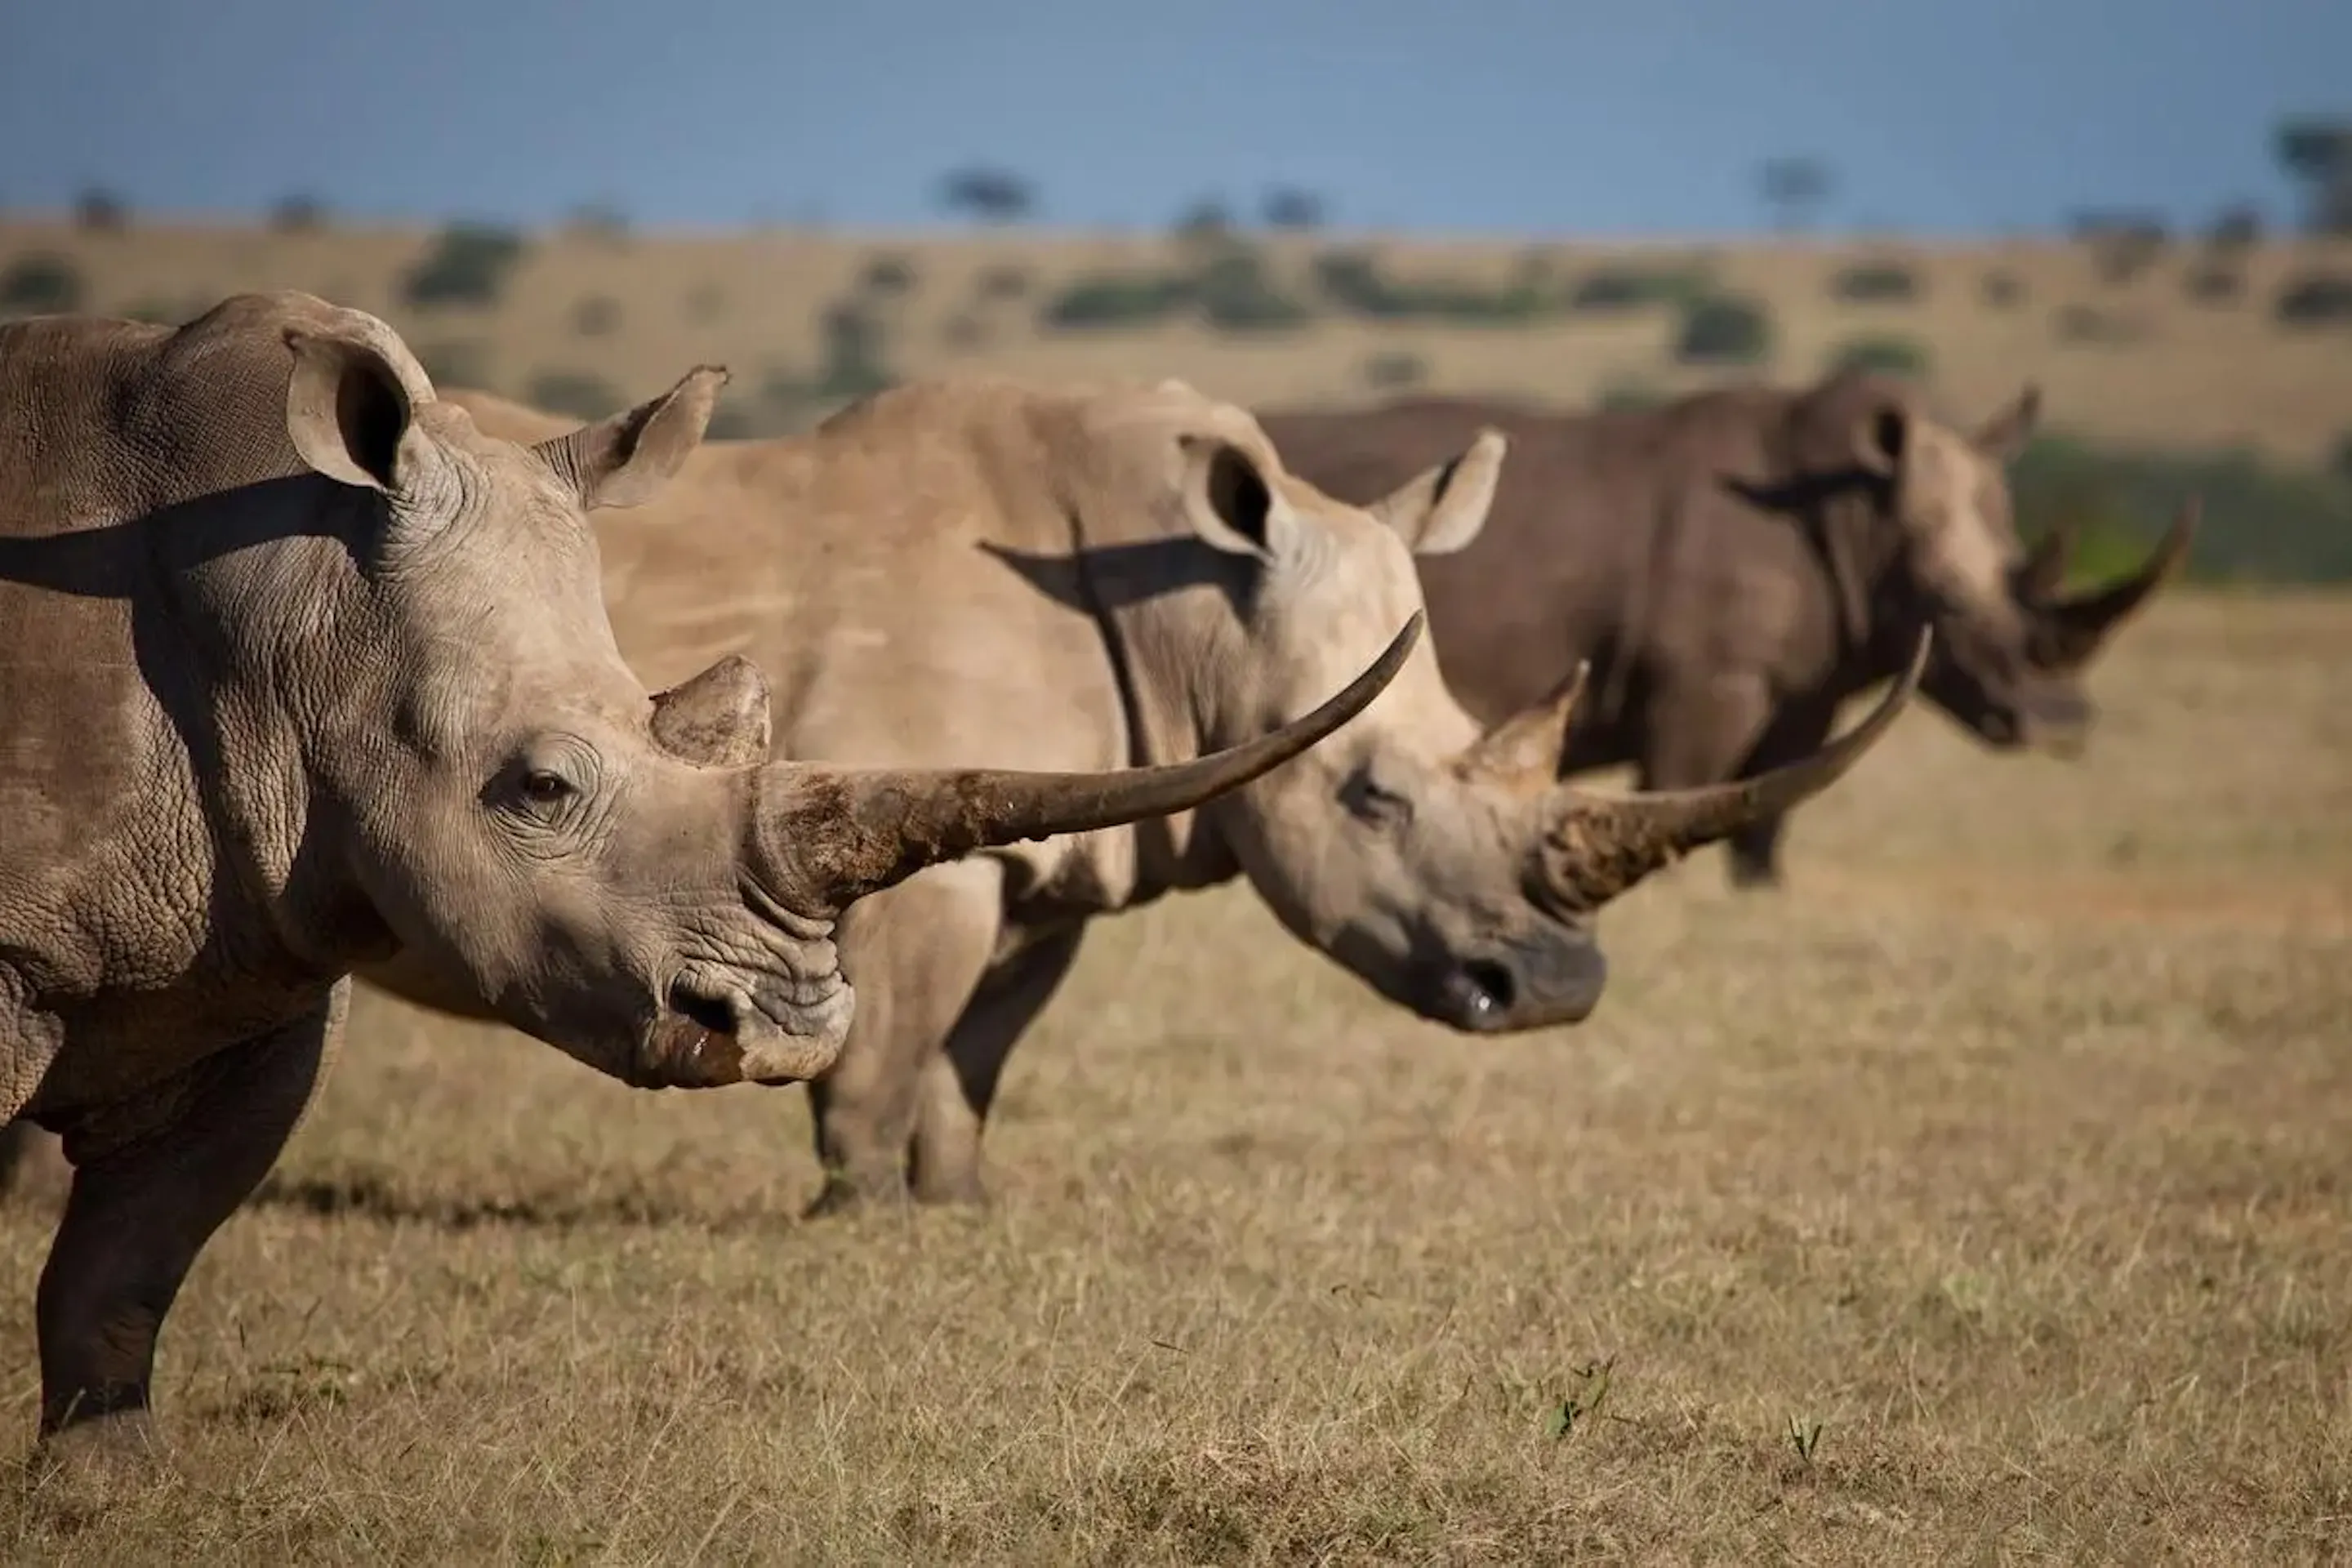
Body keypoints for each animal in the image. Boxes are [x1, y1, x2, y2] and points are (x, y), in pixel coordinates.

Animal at [0, 294, 1412, 1465]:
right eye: (542, 790)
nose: (789, 1024)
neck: (292, 615)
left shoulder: (273, 957)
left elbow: (130, 1265)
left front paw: (110, 1491)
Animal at [353, 373, 1924, 1216]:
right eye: (1370, 801)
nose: (1553, 993)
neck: (1196, 617)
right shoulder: (911, 862)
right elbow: (881, 1063)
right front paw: (856, 1219)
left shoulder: (1049, 857)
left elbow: (971, 1065)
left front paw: (959, 1213)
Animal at [1261, 373, 2194, 886]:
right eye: (1953, 607)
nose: (2061, 725)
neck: (1859, 512)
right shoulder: (1708, 681)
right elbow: (1683, 785)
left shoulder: (1807, 683)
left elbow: (1767, 817)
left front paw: (1760, 888)